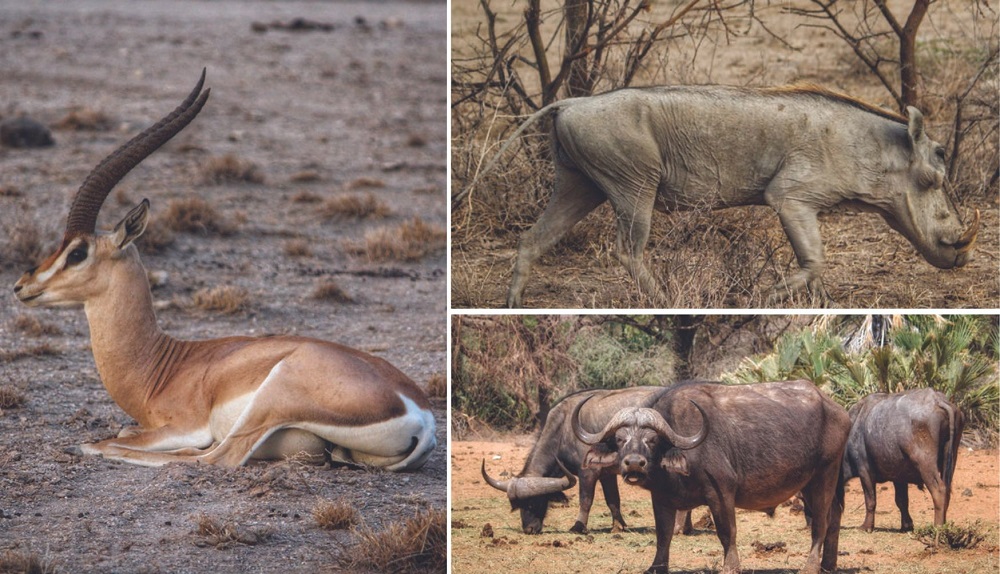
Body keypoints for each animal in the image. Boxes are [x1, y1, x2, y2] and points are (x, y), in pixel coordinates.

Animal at [480, 388, 660, 536]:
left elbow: (585, 500)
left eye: (534, 502)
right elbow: (613, 500)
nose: (529, 529)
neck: (564, 429)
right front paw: (618, 526)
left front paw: (578, 527)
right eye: (518, 505)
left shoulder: (588, 472)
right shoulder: (606, 475)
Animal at [488, 84, 980, 308]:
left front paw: (820, 305)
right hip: (634, 186)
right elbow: (814, 260)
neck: (869, 148)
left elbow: (817, 271)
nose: (962, 257)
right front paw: (758, 297)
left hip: (580, 184)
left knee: (533, 239)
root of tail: (571, 102)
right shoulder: (790, 197)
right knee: (627, 251)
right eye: (934, 173)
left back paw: (514, 304)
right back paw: (668, 302)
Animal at [576, 382, 848, 574]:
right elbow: (663, 535)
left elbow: (727, 531)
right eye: (620, 439)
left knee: (821, 521)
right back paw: (828, 564)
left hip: (824, 475)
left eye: (652, 439)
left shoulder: (721, 492)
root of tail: (838, 410)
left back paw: (811, 567)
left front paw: (731, 567)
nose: (634, 463)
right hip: (813, 482)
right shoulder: (661, 498)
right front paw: (655, 567)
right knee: (834, 514)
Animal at [840, 390, 964, 532]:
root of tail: (937, 400)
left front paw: (866, 526)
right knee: (947, 491)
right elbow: (901, 501)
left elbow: (870, 500)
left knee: (939, 490)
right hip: (951, 457)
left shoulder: (864, 471)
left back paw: (937, 527)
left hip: (925, 463)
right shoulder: (899, 477)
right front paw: (907, 525)